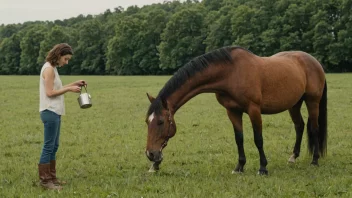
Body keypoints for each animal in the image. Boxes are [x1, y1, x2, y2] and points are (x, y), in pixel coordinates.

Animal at [144, 45, 326, 174]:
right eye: (147, 121)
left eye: (161, 121)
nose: (151, 154)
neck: (231, 73)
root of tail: (314, 61)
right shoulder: (232, 111)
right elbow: (239, 138)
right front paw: (239, 167)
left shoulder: (254, 110)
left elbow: (258, 139)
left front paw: (263, 168)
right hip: (294, 104)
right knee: (299, 126)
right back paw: (293, 157)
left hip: (312, 102)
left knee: (314, 129)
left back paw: (315, 161)